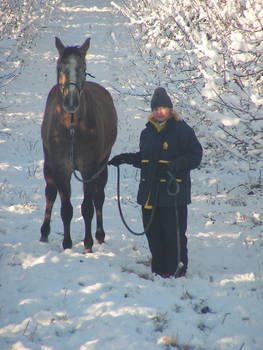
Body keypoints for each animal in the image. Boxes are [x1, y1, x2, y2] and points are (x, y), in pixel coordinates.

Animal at [40, 37, 117, 252]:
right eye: (60, 67)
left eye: (83, 67)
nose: (71, 102)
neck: (72, 127)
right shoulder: (61, 168)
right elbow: (66, 208)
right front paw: (67, 245)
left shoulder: (90, 169)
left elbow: (88, 207)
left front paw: (88, 244)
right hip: (48, 163)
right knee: (50, 193)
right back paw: (44, 233)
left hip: (102, 165)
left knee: (98, 198)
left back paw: (99, 235)